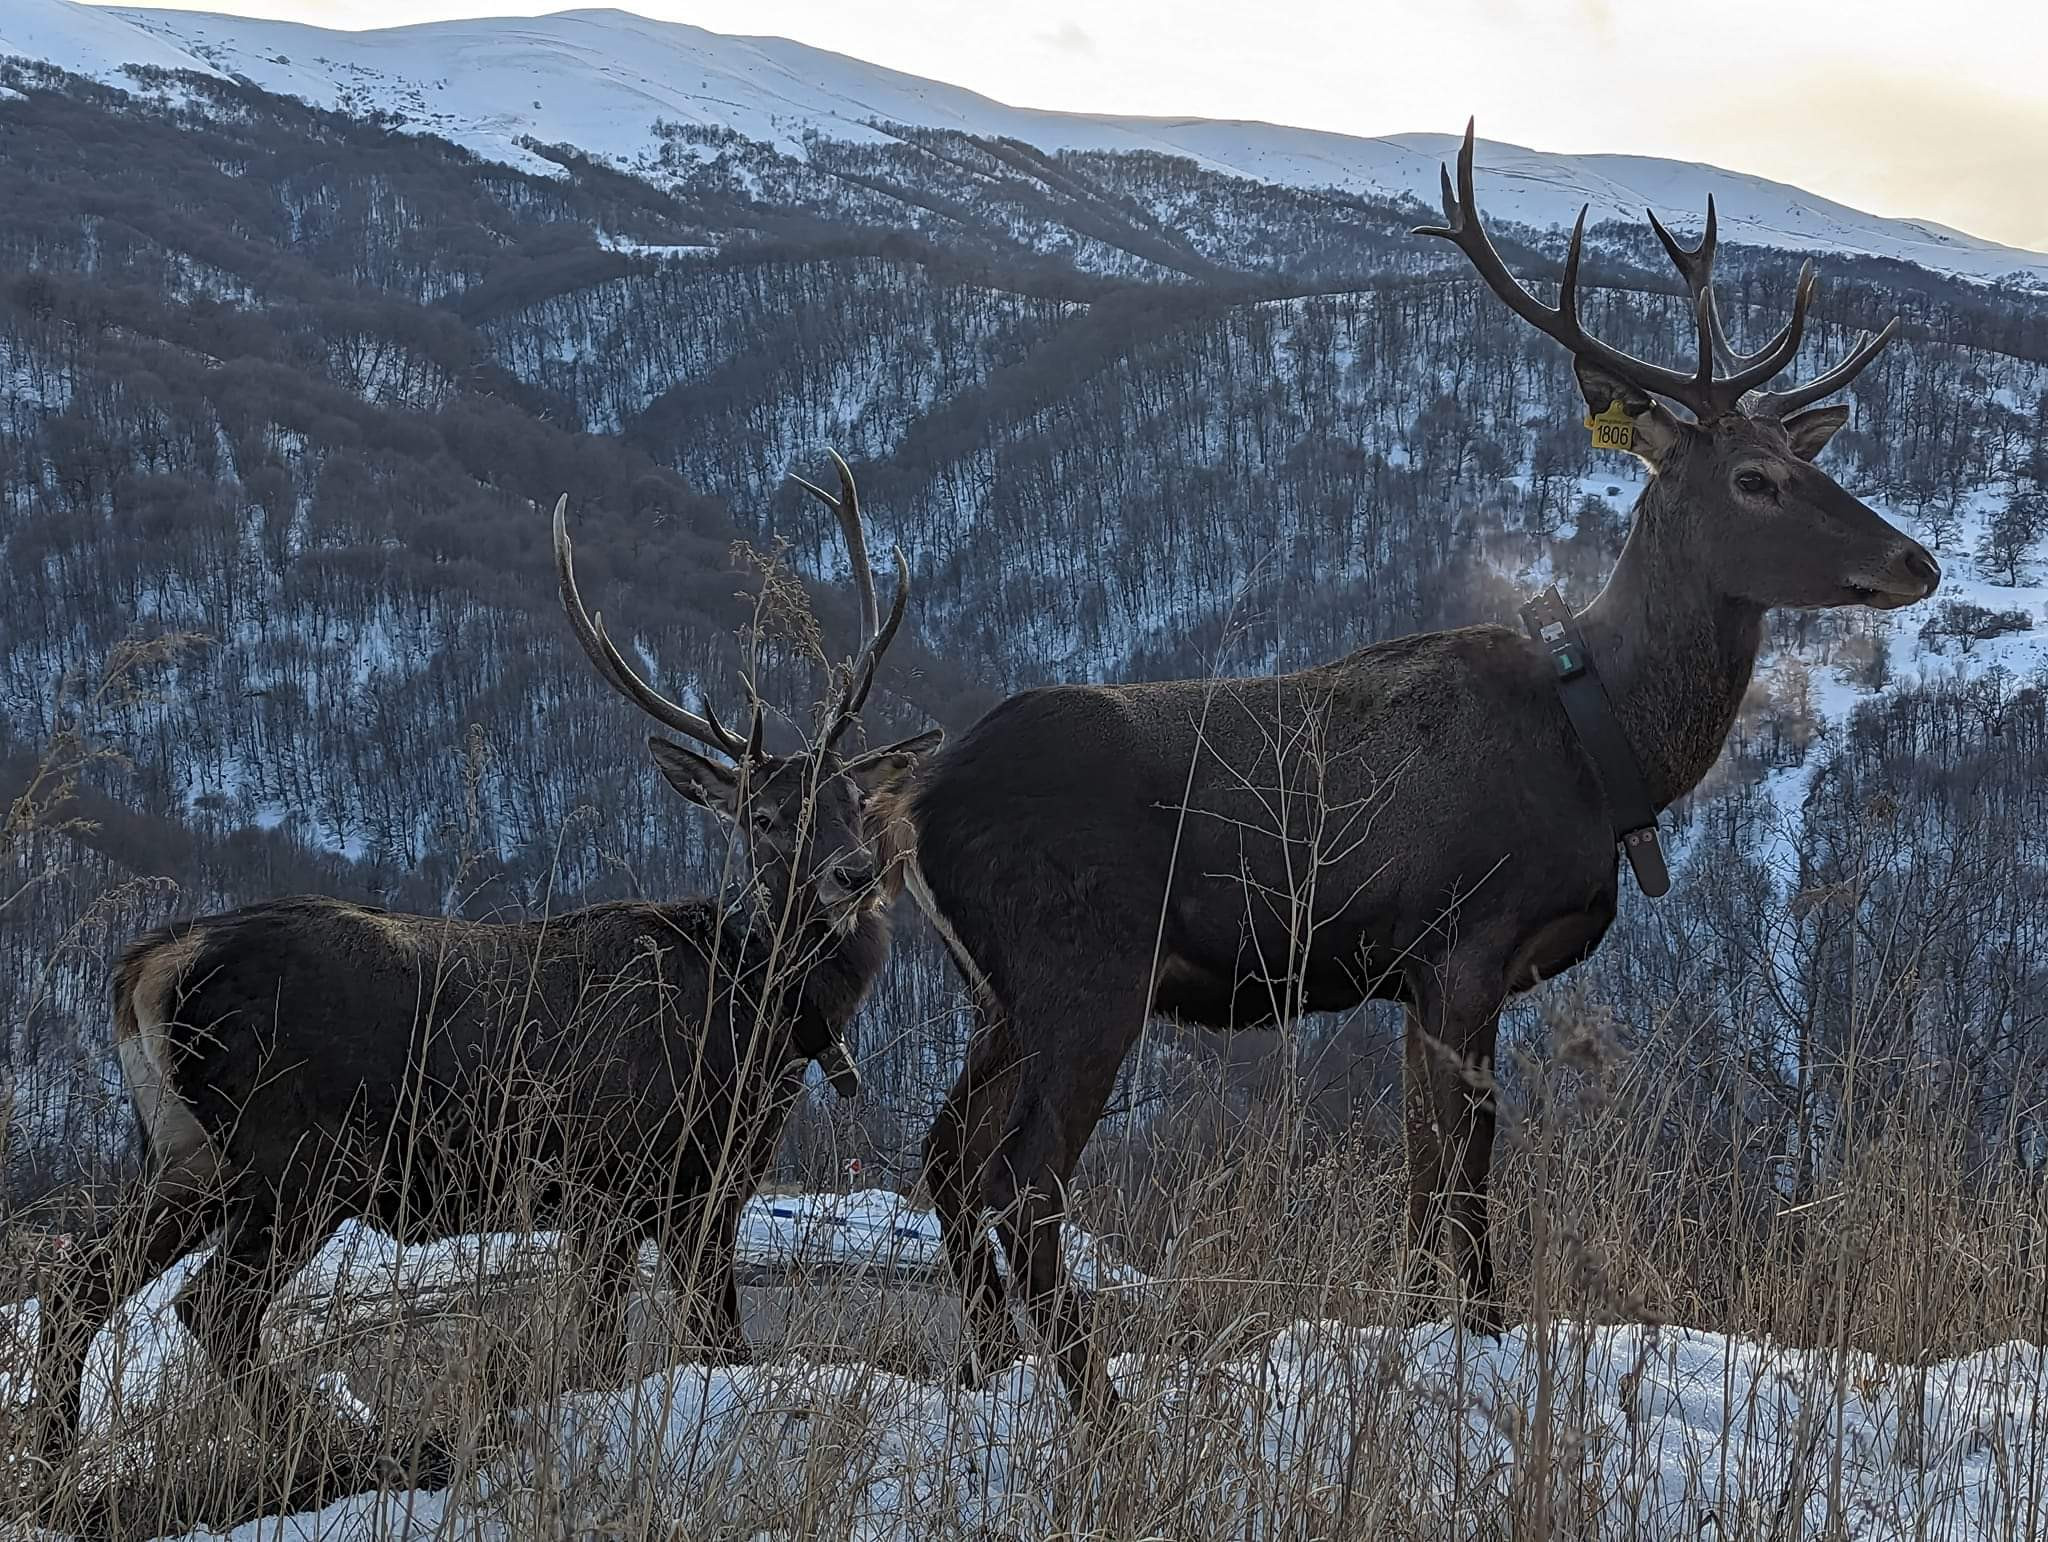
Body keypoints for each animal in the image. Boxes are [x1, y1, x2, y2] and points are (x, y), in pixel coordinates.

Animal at [28, 454, 937, 1458]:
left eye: (854, 799)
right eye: (764, 817)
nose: (853, 874)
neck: (761, 1017)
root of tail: (147, 965)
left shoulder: (649, 1192)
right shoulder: (645, 1174)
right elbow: (680, 1344)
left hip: (185, 1154)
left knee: (80, 1285)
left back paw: (58, 1449)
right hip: (296, 1154)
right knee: (212, 1309)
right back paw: (344, 1444)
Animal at [905, 126, 1941, 1417]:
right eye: (1752, 479)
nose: (1914, 562)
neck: (1600, 747)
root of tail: (914, 805)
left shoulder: (1414, 976)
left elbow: (1415, 1170)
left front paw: (1413, 1335)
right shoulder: (1464, 940)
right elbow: (1466, 1169)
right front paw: (1480, 1334)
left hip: (996, 989)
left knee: (944, 1158)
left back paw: (987, 1374)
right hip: (1081, 963)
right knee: (1022, 1178)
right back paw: (1095, 1408)